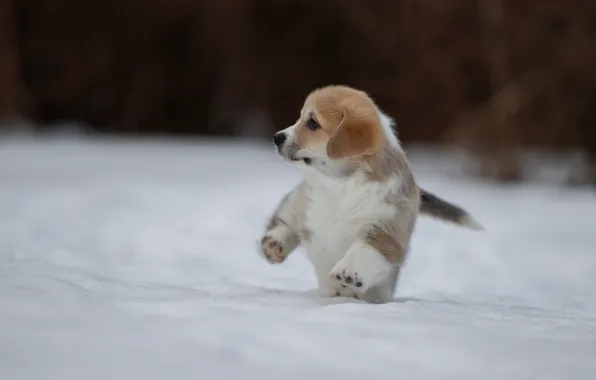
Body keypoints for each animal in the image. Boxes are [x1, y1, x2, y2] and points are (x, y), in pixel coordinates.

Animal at [260, 85, 480, 302]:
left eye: (313, 123)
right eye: (301, 117)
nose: (276, 138)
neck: (340, 185)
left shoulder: (384, 228)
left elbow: (364, 250)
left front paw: (348, 272)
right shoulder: (302, 205)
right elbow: (286, 223)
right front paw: (273, 244)